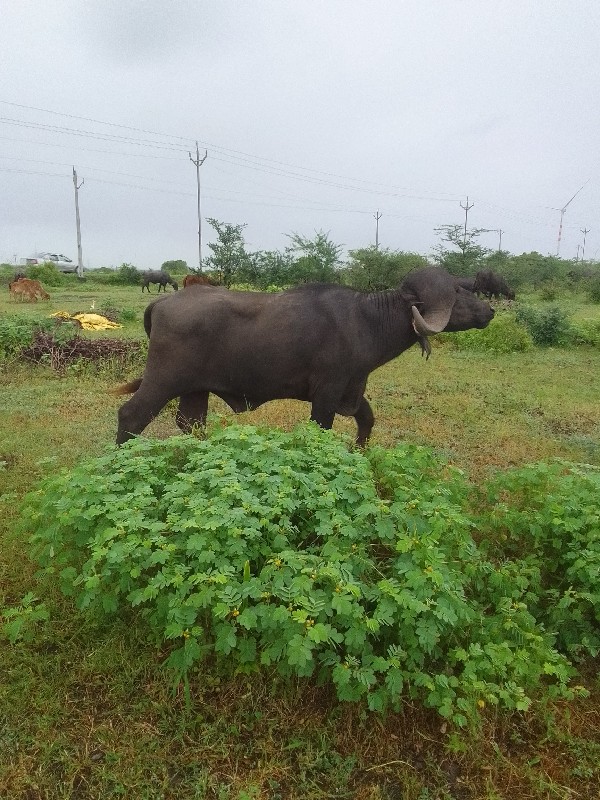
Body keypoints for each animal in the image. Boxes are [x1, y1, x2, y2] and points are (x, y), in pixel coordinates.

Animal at [115, 268, 494, 444]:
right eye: (456, 292)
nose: (489, 311)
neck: (366, 320)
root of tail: (162, 302)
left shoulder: (351, 390)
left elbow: (367, 421)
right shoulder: (326, 394)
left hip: (195, 391)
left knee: (191, 424)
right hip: (163, 381)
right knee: (131, 416)